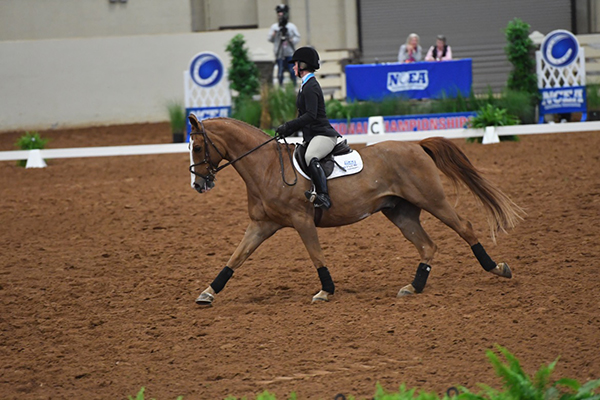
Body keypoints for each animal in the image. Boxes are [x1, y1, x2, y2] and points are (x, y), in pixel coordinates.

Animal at [190, 115, 524, 306]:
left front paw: (325, 290)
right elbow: (236, 258)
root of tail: (417, 145)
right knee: (428, 246)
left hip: (433, 200)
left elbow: (316, 256)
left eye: (197, 147)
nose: (198, 184)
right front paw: (208, 292)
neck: (268, 167)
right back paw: (413, 287)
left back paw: (497, 268)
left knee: (464, 227)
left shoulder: (302, 220)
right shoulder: (261, 224)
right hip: (400, 213)